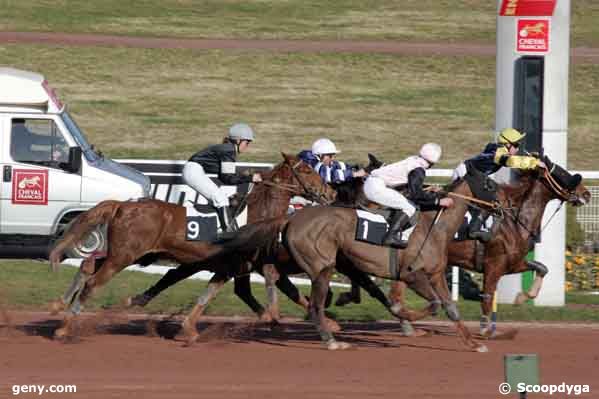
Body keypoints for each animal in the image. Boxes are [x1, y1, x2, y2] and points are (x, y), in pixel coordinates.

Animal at [48, 153, 336, 338]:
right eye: (307, 170)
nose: (331, 192)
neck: (258, 214)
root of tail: (122, 205)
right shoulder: (242, 265)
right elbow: (283, 289)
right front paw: (327, 322)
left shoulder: (233, 266)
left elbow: (214, 292)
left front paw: (188, 328)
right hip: (123, 257)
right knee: (92, 284)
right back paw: (64, 327)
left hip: (126, 254)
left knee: (87, 265)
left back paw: (59, 306)